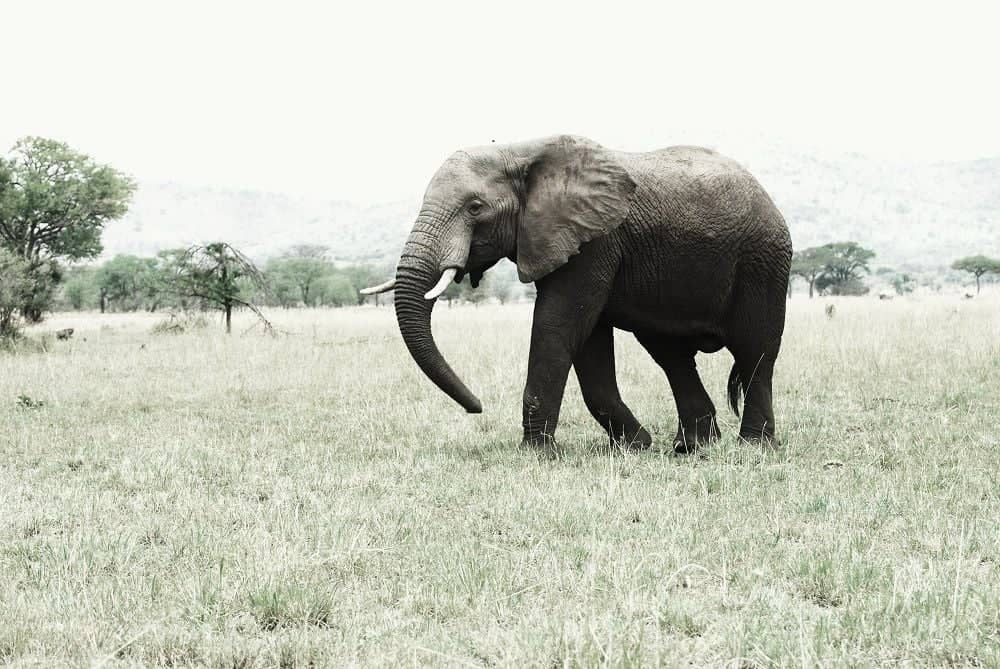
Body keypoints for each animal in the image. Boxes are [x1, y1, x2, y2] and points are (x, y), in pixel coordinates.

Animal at [363, 135, 792, 452]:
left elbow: (558, 326)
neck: (519, 151)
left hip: (763, 260)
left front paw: (536, 454)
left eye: (474, 207)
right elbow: (588, 342)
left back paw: (754, 446)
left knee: (755, 350)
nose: (478, 407)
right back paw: (692, 448)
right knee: (671, 355)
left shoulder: (595, 241)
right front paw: (635, 447)